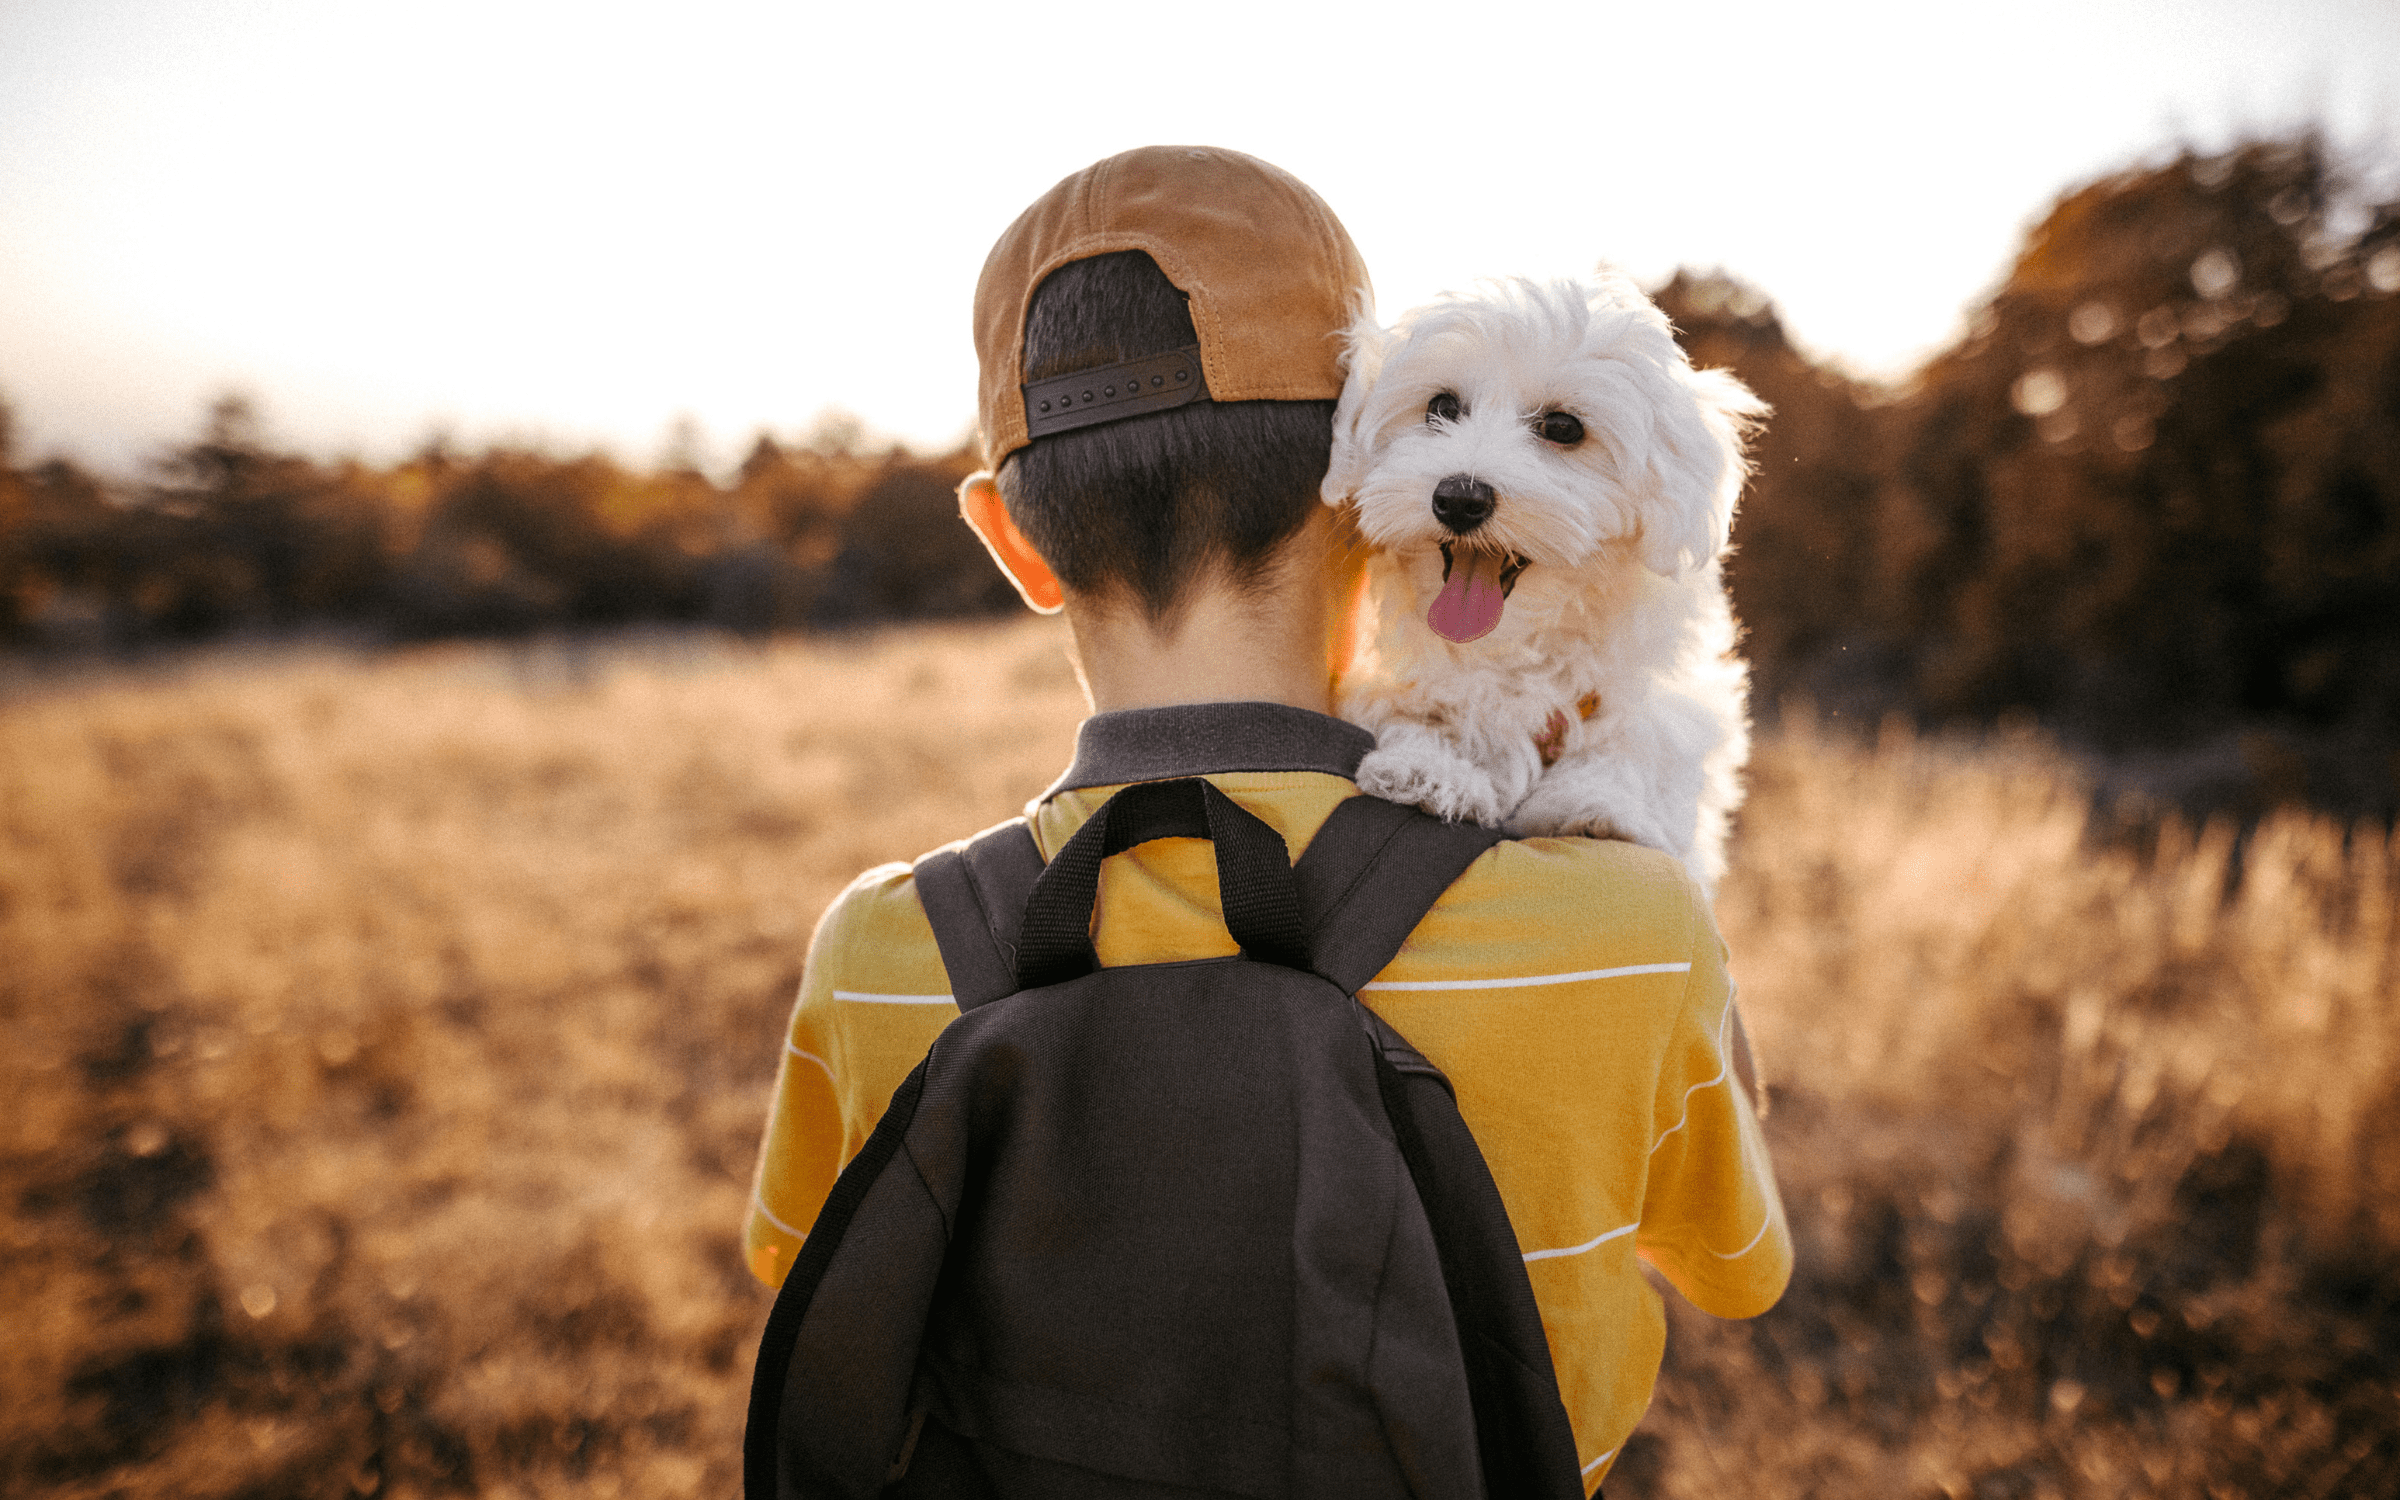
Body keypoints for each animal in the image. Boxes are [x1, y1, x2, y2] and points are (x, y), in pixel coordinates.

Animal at [1315, 268, 1766, 888]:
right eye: (1441, 406)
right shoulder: (1387, 682)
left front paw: (1594, 804)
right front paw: (1430, 770)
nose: (1460, 498)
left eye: (1562, 427)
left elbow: (1629, 749)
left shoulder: (1655, 709)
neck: (1511, 649)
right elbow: (1416, 716)